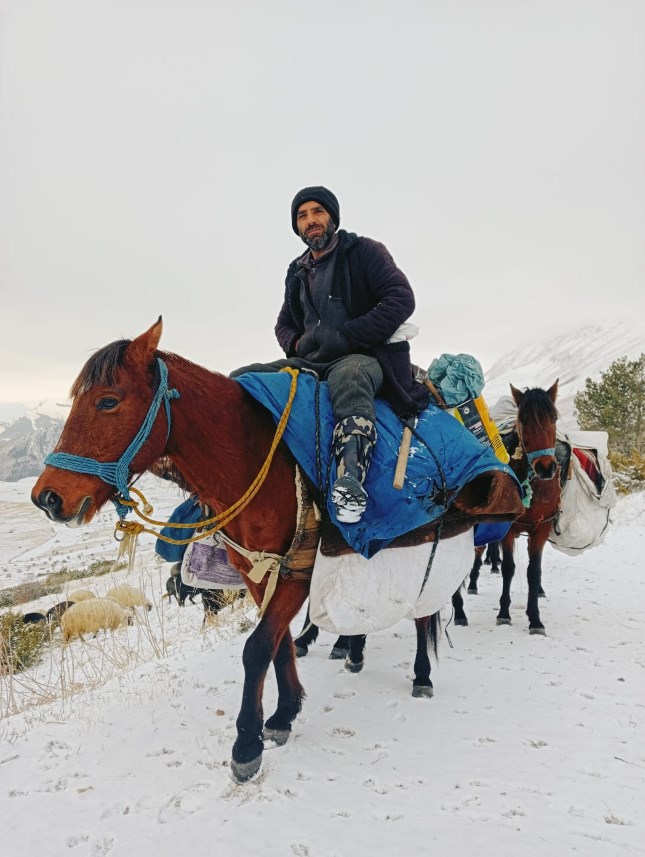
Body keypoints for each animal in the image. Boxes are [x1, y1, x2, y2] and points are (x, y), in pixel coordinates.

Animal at [31, 320, 520, 784]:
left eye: (108, 402)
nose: (47, 497)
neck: (254, 462)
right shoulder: (257, 572)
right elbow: (280, 643)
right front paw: (285, 714)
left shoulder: (296, 572)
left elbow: (257, 648)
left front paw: (247, 744)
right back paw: (355, 652)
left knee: (423, 614)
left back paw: (421, 675)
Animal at [448, 384, 560, 632]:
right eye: (524, 420)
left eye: (554, 418)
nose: (545, 468)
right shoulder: (507, 529)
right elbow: (509, 568)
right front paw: (504, 612)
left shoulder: (541, 529)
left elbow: (533, 571)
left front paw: (535, 618)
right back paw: (459, 611)